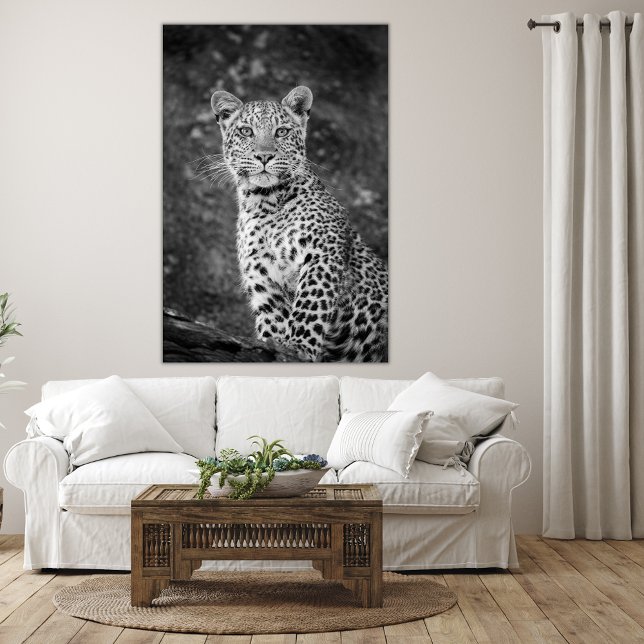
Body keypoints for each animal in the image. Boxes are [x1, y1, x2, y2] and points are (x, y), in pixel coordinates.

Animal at [209, 85, 388, 362]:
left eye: (281, 131)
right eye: (246, 131)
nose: (264, 156)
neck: (264, 203)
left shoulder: (322, 255)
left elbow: (309, 304)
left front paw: (299, 346)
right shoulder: (262, 277)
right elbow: (273, 318)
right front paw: (275, 345)